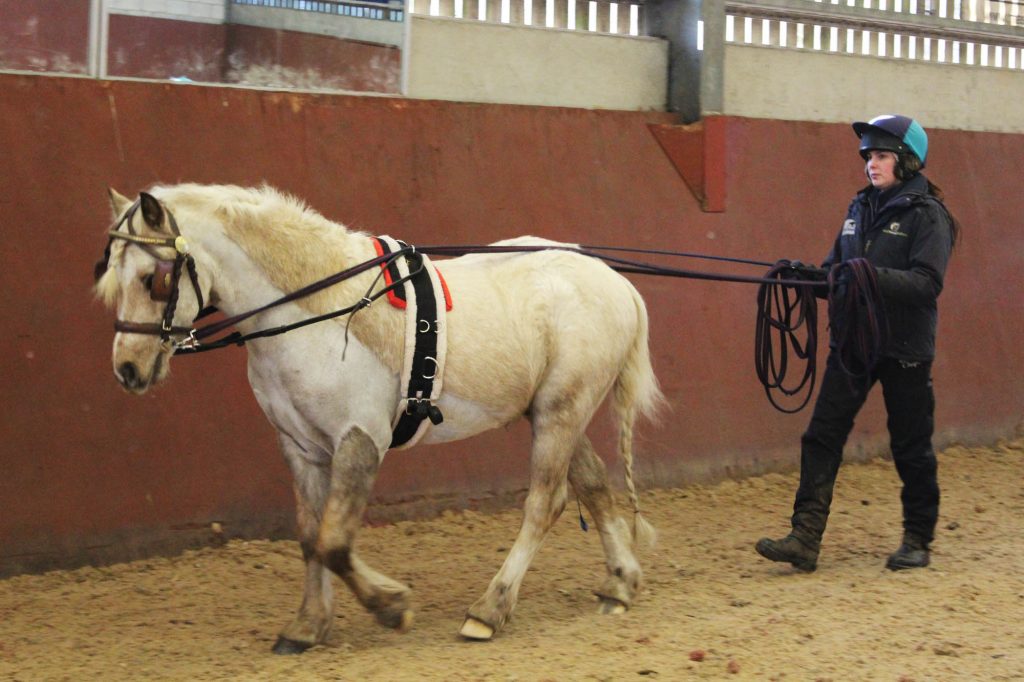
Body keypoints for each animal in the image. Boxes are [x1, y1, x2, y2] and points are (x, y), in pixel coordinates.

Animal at [94, 183, 663, 651]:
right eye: (109, 276)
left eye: (153, 279)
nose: (128, 369)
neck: (316, 310)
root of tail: (616, 282)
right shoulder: (301, 447)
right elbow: (311, 536)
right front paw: (307, 627)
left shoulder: (359, 437)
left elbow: (334, 542)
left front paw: (392, 607)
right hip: (551, 412)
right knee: (592, 483)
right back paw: (619, 584)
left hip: (560, 411)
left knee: (545, 503)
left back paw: (488, 611)